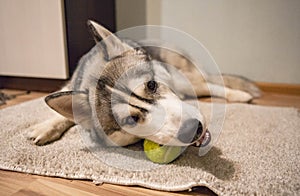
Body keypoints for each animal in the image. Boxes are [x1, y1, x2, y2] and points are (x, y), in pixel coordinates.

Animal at [27, 20, 260, 148]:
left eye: (151, 85)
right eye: (131, 120)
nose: (194, 129)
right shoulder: (69, 85)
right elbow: (61, 113)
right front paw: (45, 126)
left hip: (185, 79)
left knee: (209, 85)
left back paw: (242, 95)